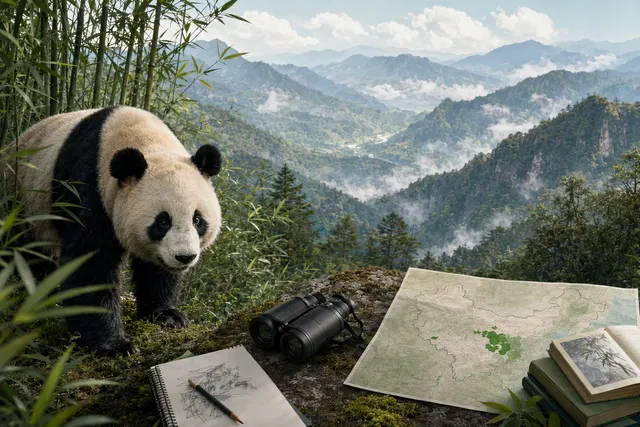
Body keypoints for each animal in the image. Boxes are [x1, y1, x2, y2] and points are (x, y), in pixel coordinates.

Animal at [7, 106, 223, 356]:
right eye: (162, 221)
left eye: (197, 219)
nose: (185, 257)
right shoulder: (88, 185)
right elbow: (90, 264)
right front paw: (114, 345)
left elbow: (156, 270)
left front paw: (167, 315)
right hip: (23, 197)